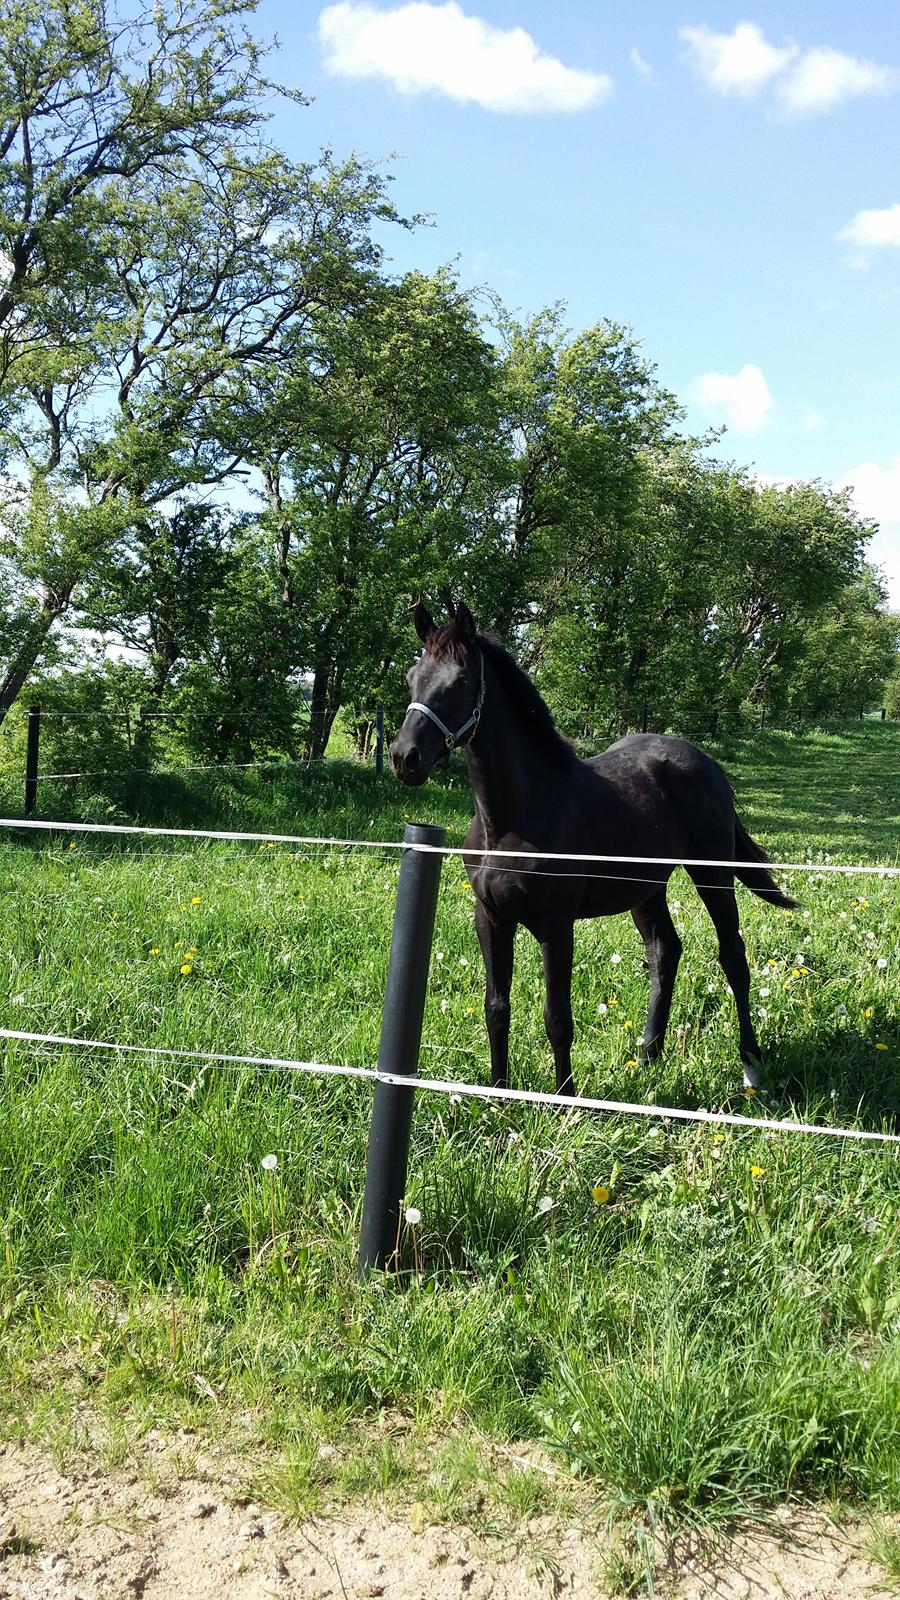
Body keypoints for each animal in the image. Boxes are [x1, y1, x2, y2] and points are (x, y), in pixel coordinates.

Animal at [389, 604, 787, 1094]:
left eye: (462, 680)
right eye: (413, 676)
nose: (405, 757)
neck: (512, 819)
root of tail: (707, 764)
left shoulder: (555, 925)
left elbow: (557, 1017)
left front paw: (565, 1097)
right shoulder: (493, 918)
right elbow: (496, 1008)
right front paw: (498, 1093)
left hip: (712, 873)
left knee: (733, 956)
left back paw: (751, 1064)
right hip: (646, 889)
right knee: (665, 952)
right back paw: (649, 1054)